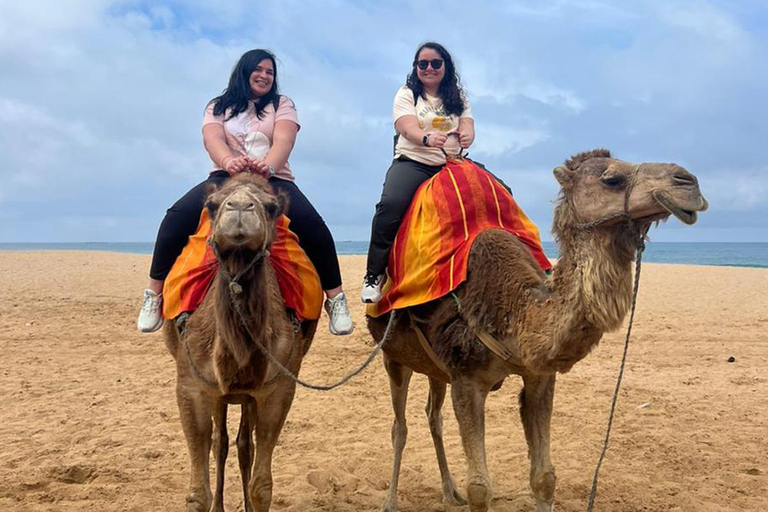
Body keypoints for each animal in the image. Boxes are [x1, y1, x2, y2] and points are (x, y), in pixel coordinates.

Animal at [164, 173, 316, 512]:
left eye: (272, 207)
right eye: (211, 204)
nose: (240, 207)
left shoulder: (278, 387)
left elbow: (262, 487)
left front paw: (252, 499)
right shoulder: (191, 385)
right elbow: (198, 494)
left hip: (247, 396)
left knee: (242, 443)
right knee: (220, 442)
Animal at [366, 149, 708, 512]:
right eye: (611, 179)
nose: (688, 181)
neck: (513, 309)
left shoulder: (539, 375)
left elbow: (544, 478)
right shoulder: (466, 379)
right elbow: (480, 488)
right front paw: (469, 489)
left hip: (435, 368)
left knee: (434, 416)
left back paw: (449, 491)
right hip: (393, 356)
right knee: (400, 426)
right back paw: (390, 502)